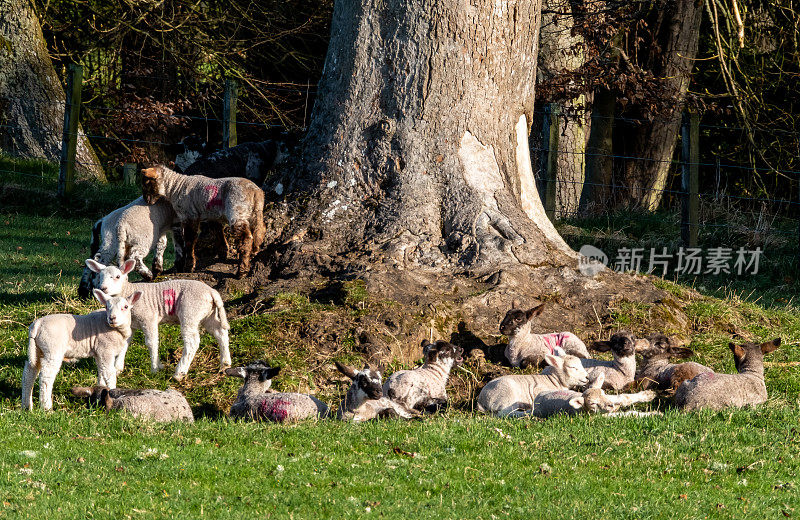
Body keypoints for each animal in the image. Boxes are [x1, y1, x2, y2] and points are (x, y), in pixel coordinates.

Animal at [86, 258, 231, 380]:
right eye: (100, 276)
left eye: (117, 276)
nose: (103, 288)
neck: (129, 292)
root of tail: (212, 292)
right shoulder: (130, 323)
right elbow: (125, 342)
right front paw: (118, 368)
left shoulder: (148, 318)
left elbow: (152, 343)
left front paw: (155, 368)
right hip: (208, 313)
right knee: (220, 333)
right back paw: (225, 364)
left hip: (190, 312)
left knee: (192, 342)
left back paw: (179, 373)